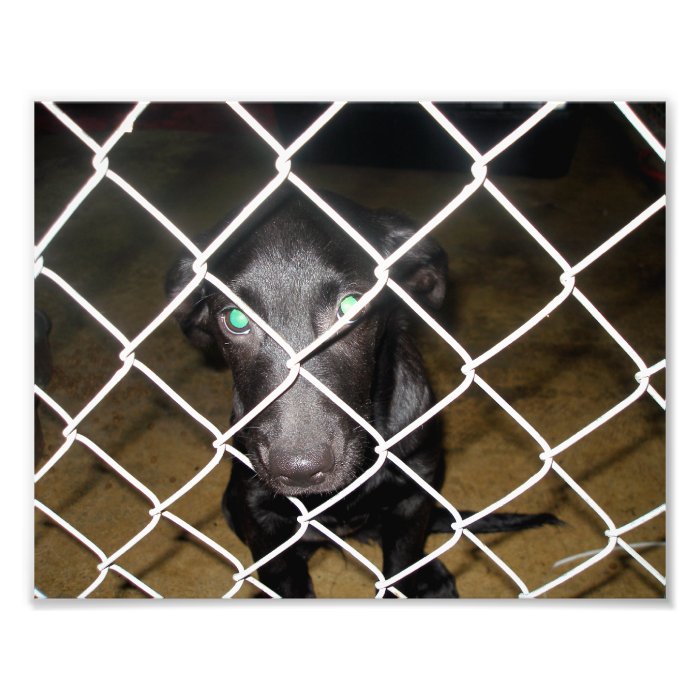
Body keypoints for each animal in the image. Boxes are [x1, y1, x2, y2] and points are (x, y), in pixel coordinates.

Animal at [167, 189, 556, 600]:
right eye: (236, 319)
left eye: (352, 306)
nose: (301, 471)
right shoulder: (257, 511)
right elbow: (283, 575)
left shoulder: (415, 492)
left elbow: (400, 562)